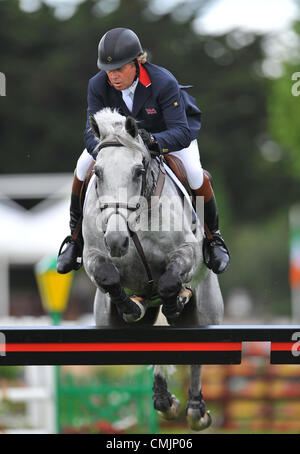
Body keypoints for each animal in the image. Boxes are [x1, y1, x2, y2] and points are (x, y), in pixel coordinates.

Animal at [82, 108, 223, 430]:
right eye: (98, 172)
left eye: (138, 171)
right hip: (106, 322)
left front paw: (176, 299)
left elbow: (170, 281)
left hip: (208, 309)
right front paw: (131, 305)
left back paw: (195, 410)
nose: (116, 240)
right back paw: (163, 399)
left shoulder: (187, 253)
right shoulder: (93, 254)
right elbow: (107, 274)